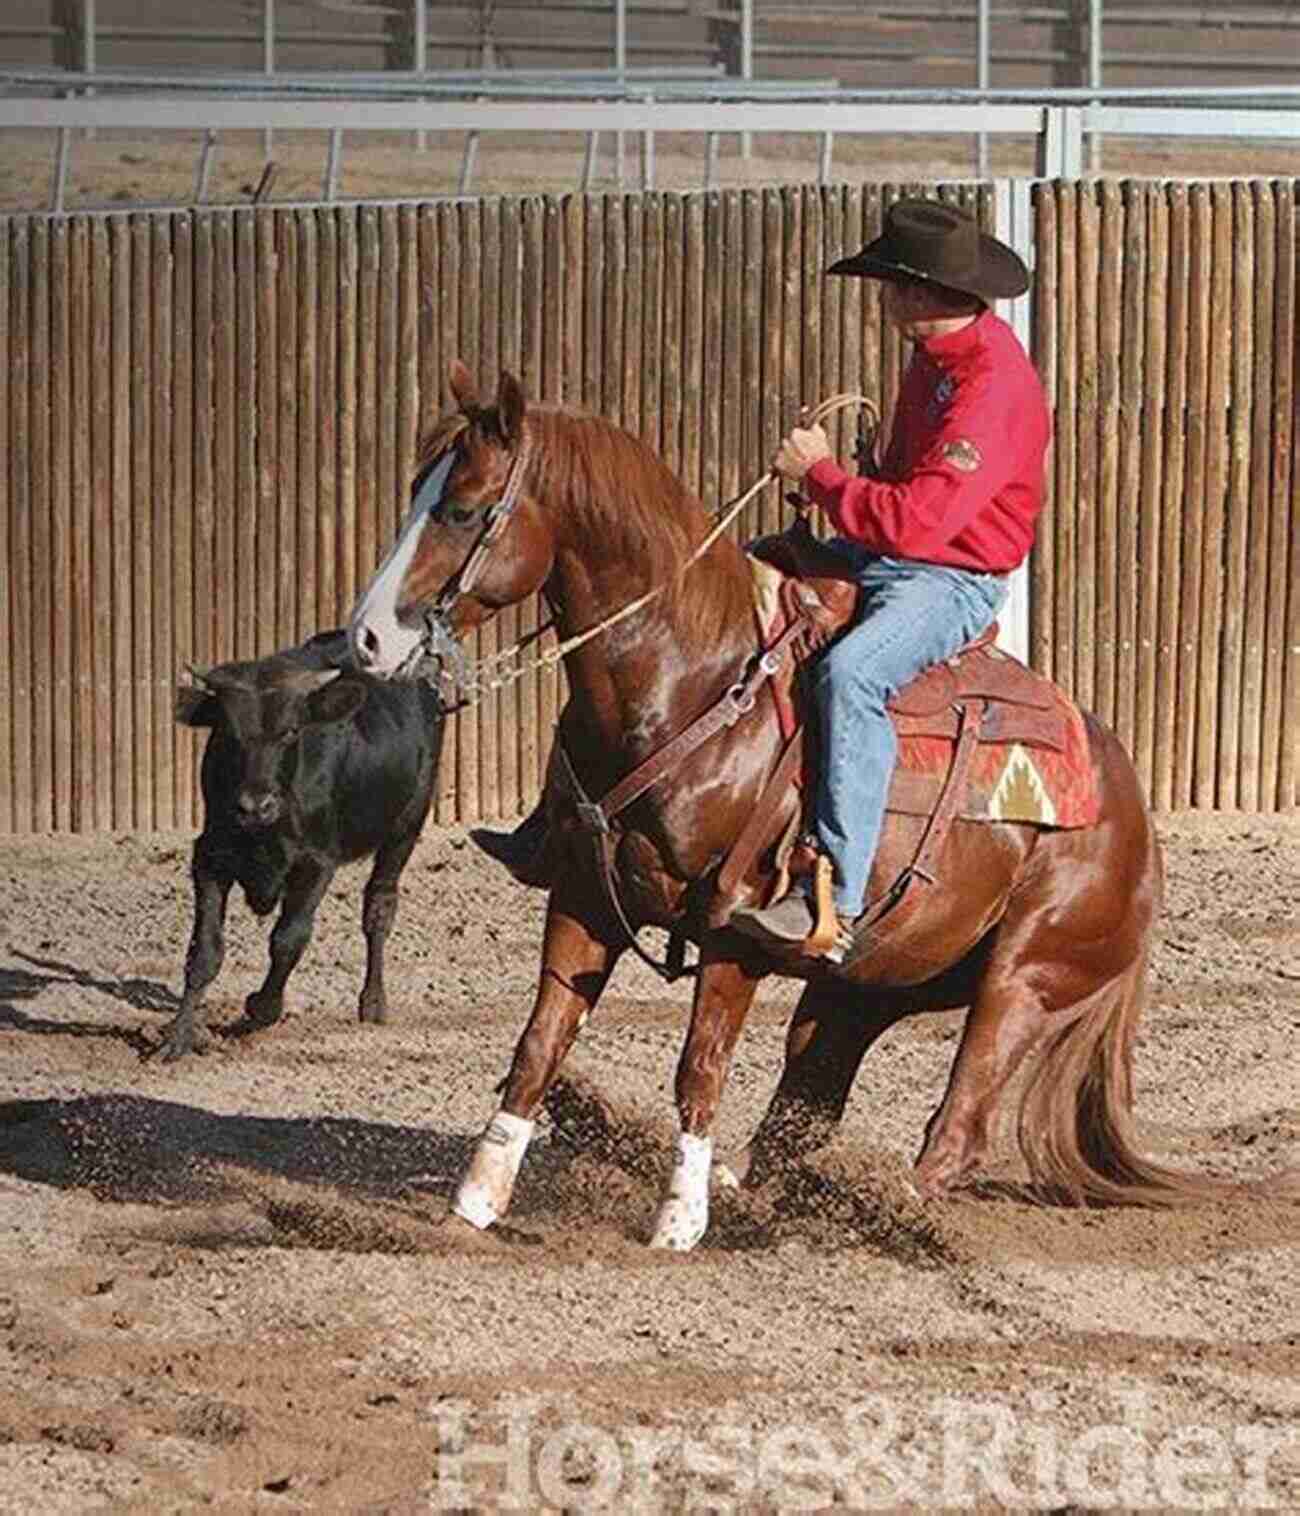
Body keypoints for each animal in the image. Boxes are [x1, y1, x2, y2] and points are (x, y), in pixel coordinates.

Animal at [159, 633, 442, 1061]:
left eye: (291, 731)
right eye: (228, 731)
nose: (255, 806)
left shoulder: (317, 863)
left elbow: (288, 939)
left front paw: (261, 1008)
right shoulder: (210, 856)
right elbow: (204, 950)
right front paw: (178, 1036)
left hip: (406, 825)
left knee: (379, 908)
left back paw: (373, 1002)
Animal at [346, 360, 1218, 1249]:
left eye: (462, 509)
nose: (367, 636)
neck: (691, 678)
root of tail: (1130, 809)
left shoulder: (734, 936)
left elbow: (698, 1070)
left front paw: (676, 1223)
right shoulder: (584, 895)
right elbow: (538, 1045)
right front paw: (475, 1201)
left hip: (1025, 977)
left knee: (960, 1121)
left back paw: (882, 1207)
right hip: (864, 984)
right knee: (806, 1102)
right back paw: (763, 1194)